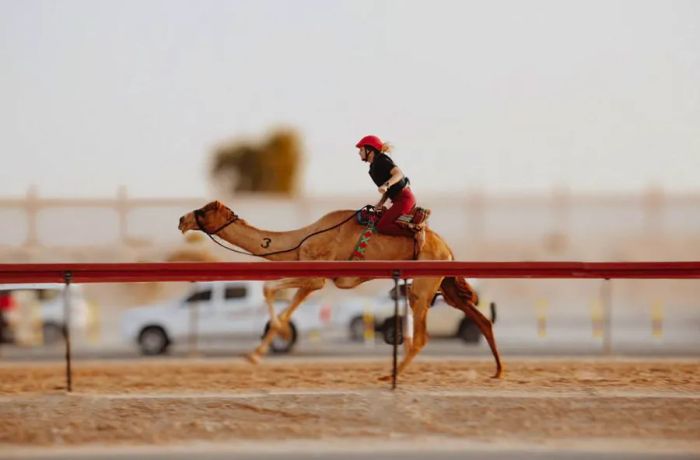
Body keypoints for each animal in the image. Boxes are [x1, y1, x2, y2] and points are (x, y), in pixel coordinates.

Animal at [178, 200, 500, 378]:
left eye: (204, 210)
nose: (182, 219)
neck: (301, 239)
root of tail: (448, 248)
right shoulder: (310, 279)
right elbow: (285, 307)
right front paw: (257, 353)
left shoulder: (316, 275)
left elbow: (269, 288)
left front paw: (268, 344)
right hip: (445, 284)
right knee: (481, 319)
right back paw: (498, 371)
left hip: (423, 286)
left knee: (422, 336)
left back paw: (388, 377)